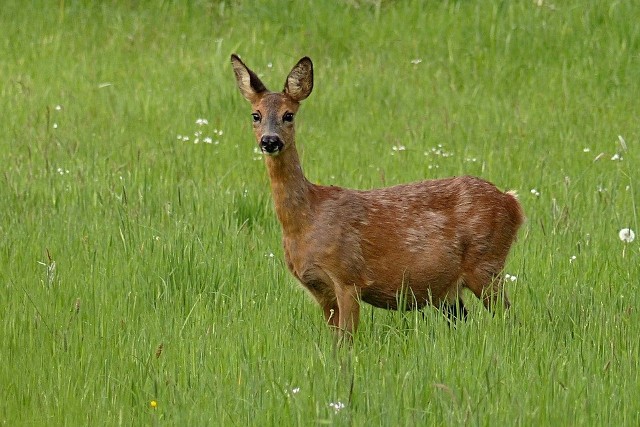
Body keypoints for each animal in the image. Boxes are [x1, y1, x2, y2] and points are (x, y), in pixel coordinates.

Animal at [230, 54, 524, 342]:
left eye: (288, 115)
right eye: (255, 115)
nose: (270, 141)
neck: (306, 220)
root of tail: (513, 203)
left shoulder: (347, 276)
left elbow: (347, 340)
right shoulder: (319, 289)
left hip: (486, 263)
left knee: (510, 319)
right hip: (448, 289)